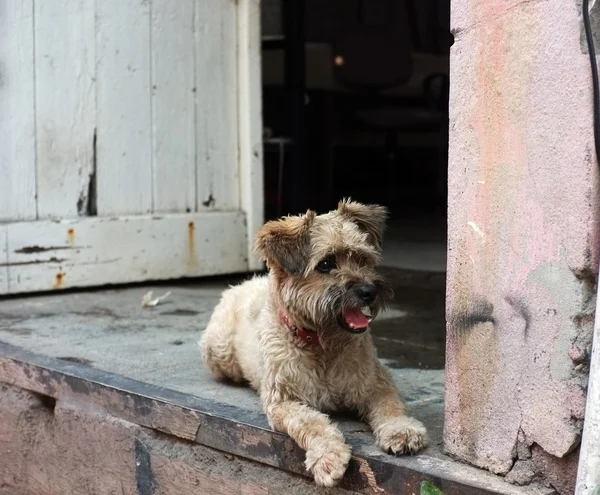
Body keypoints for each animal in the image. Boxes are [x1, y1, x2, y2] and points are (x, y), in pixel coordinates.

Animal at [199, 200, 428, 486]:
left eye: (362, 259)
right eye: (326, 264)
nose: (369, 291)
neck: (322, 345)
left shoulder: (375, 383)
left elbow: (391, 406)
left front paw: (402, 430)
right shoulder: (284, 401)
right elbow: (312, 423)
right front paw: (328, 456)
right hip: (220, 353)